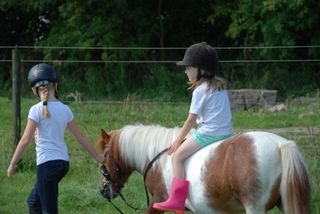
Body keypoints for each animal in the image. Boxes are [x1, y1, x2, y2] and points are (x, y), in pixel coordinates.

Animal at [96, 123, 312, 214]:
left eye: (104, 156)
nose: (103, 190)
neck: (158, 157)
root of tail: (281, 145)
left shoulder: (158, 201)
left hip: (255, 208)